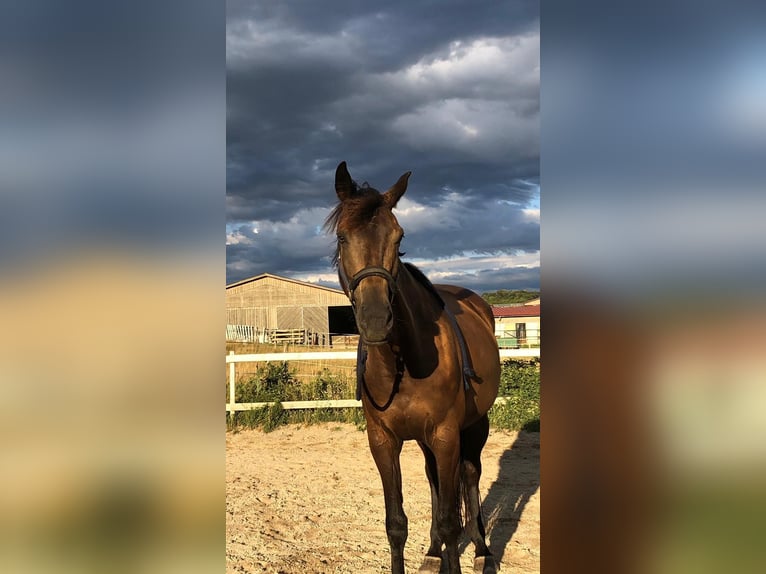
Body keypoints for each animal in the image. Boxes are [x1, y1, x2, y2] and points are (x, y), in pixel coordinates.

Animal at [326, 162, 500, 574]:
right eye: (342, 237)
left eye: (398, 235)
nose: (376, 320)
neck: (401, 366)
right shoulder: (383, 441)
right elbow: (396, 523)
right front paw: (432, 549)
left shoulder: (446, 435)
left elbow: (452, 522)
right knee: (434, 478)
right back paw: (434, 551)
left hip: (474, 425)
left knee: (470, 476)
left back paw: (482, 551)